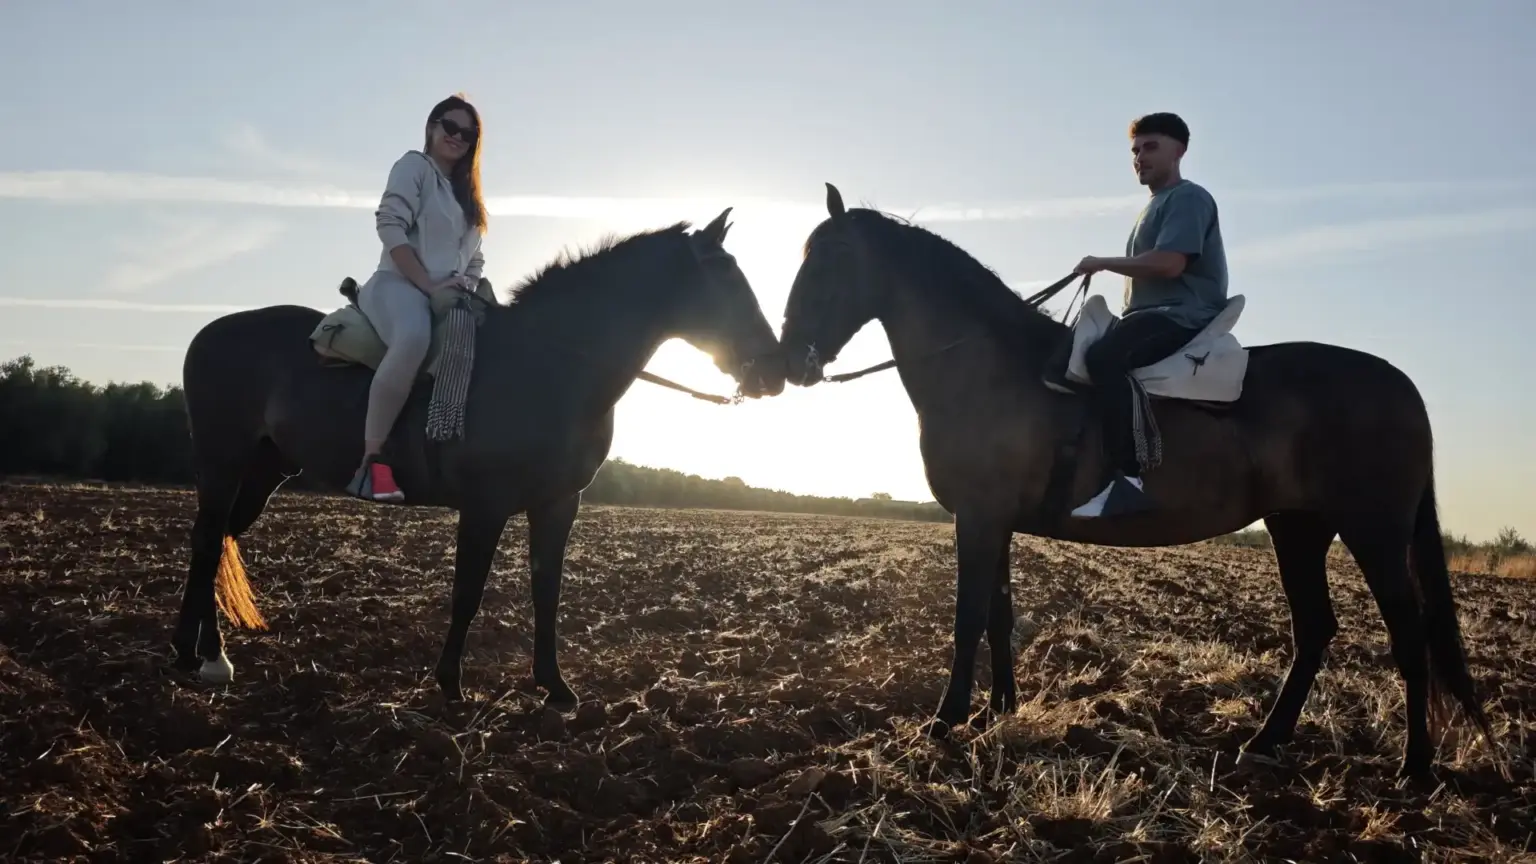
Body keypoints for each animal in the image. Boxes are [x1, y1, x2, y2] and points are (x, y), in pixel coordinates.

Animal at [174, 208, 786, 706]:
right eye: (727, 280)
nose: (776, 369)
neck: (548, 363)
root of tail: (209, 331)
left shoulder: (559, 504)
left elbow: (547, 592)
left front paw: (555, 687)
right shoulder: (485, 505)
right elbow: (467, 591)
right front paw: (450, 683)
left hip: (266, 470)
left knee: (220, 539)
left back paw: (211, 656)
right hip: (224, 462)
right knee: (206, 540)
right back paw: (191, 656)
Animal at [775, 182, 1492, 781]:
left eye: (832, 259)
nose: (789, 359)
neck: (991, 366)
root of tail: (1400, 385)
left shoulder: (978, 517)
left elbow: (968, 616)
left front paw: (945, 721)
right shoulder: (993, 520)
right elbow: (999, 615)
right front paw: (998, 710)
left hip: (1373, 532)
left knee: (1408, 636)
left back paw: (1413, 770)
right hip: (1299, 528)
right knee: (1315, 629)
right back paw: (1264, 742)